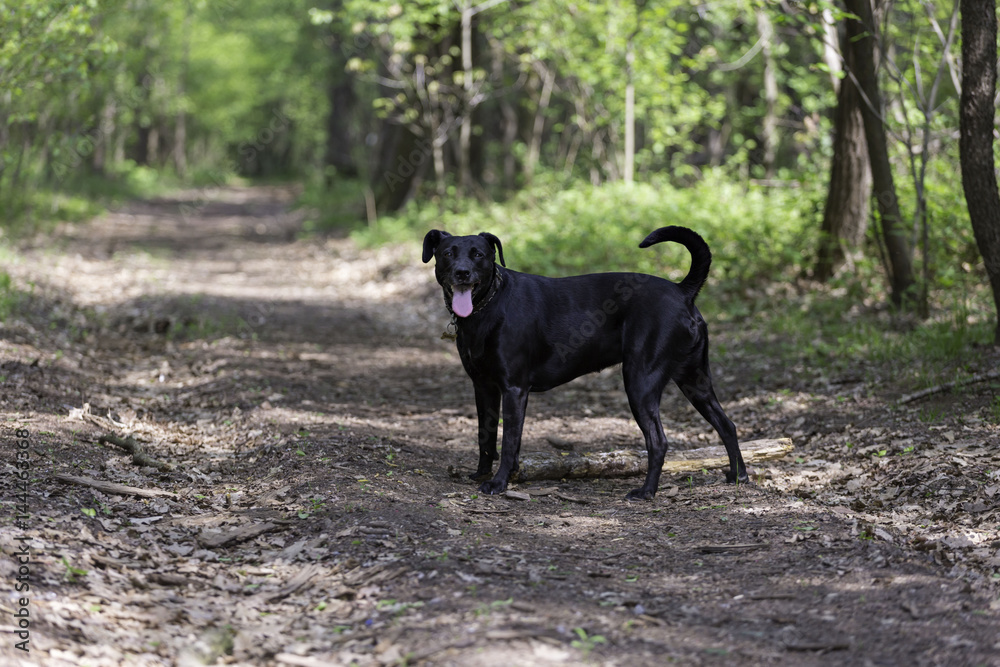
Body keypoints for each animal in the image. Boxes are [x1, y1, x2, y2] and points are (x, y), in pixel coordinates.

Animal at [420, 227, 744, 498]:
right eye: (447, 253)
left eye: (479, 254)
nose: (462, 273)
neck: (488, 307)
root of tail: (682, 290)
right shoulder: (484, 387)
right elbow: (486, 436)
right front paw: (483, 474)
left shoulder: (513, 389)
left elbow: (509, 440)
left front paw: (498, 483)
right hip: (694, 381)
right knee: (727, 425)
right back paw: (738, 476)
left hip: (640, 383)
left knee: (659, 441)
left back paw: (646, 492)